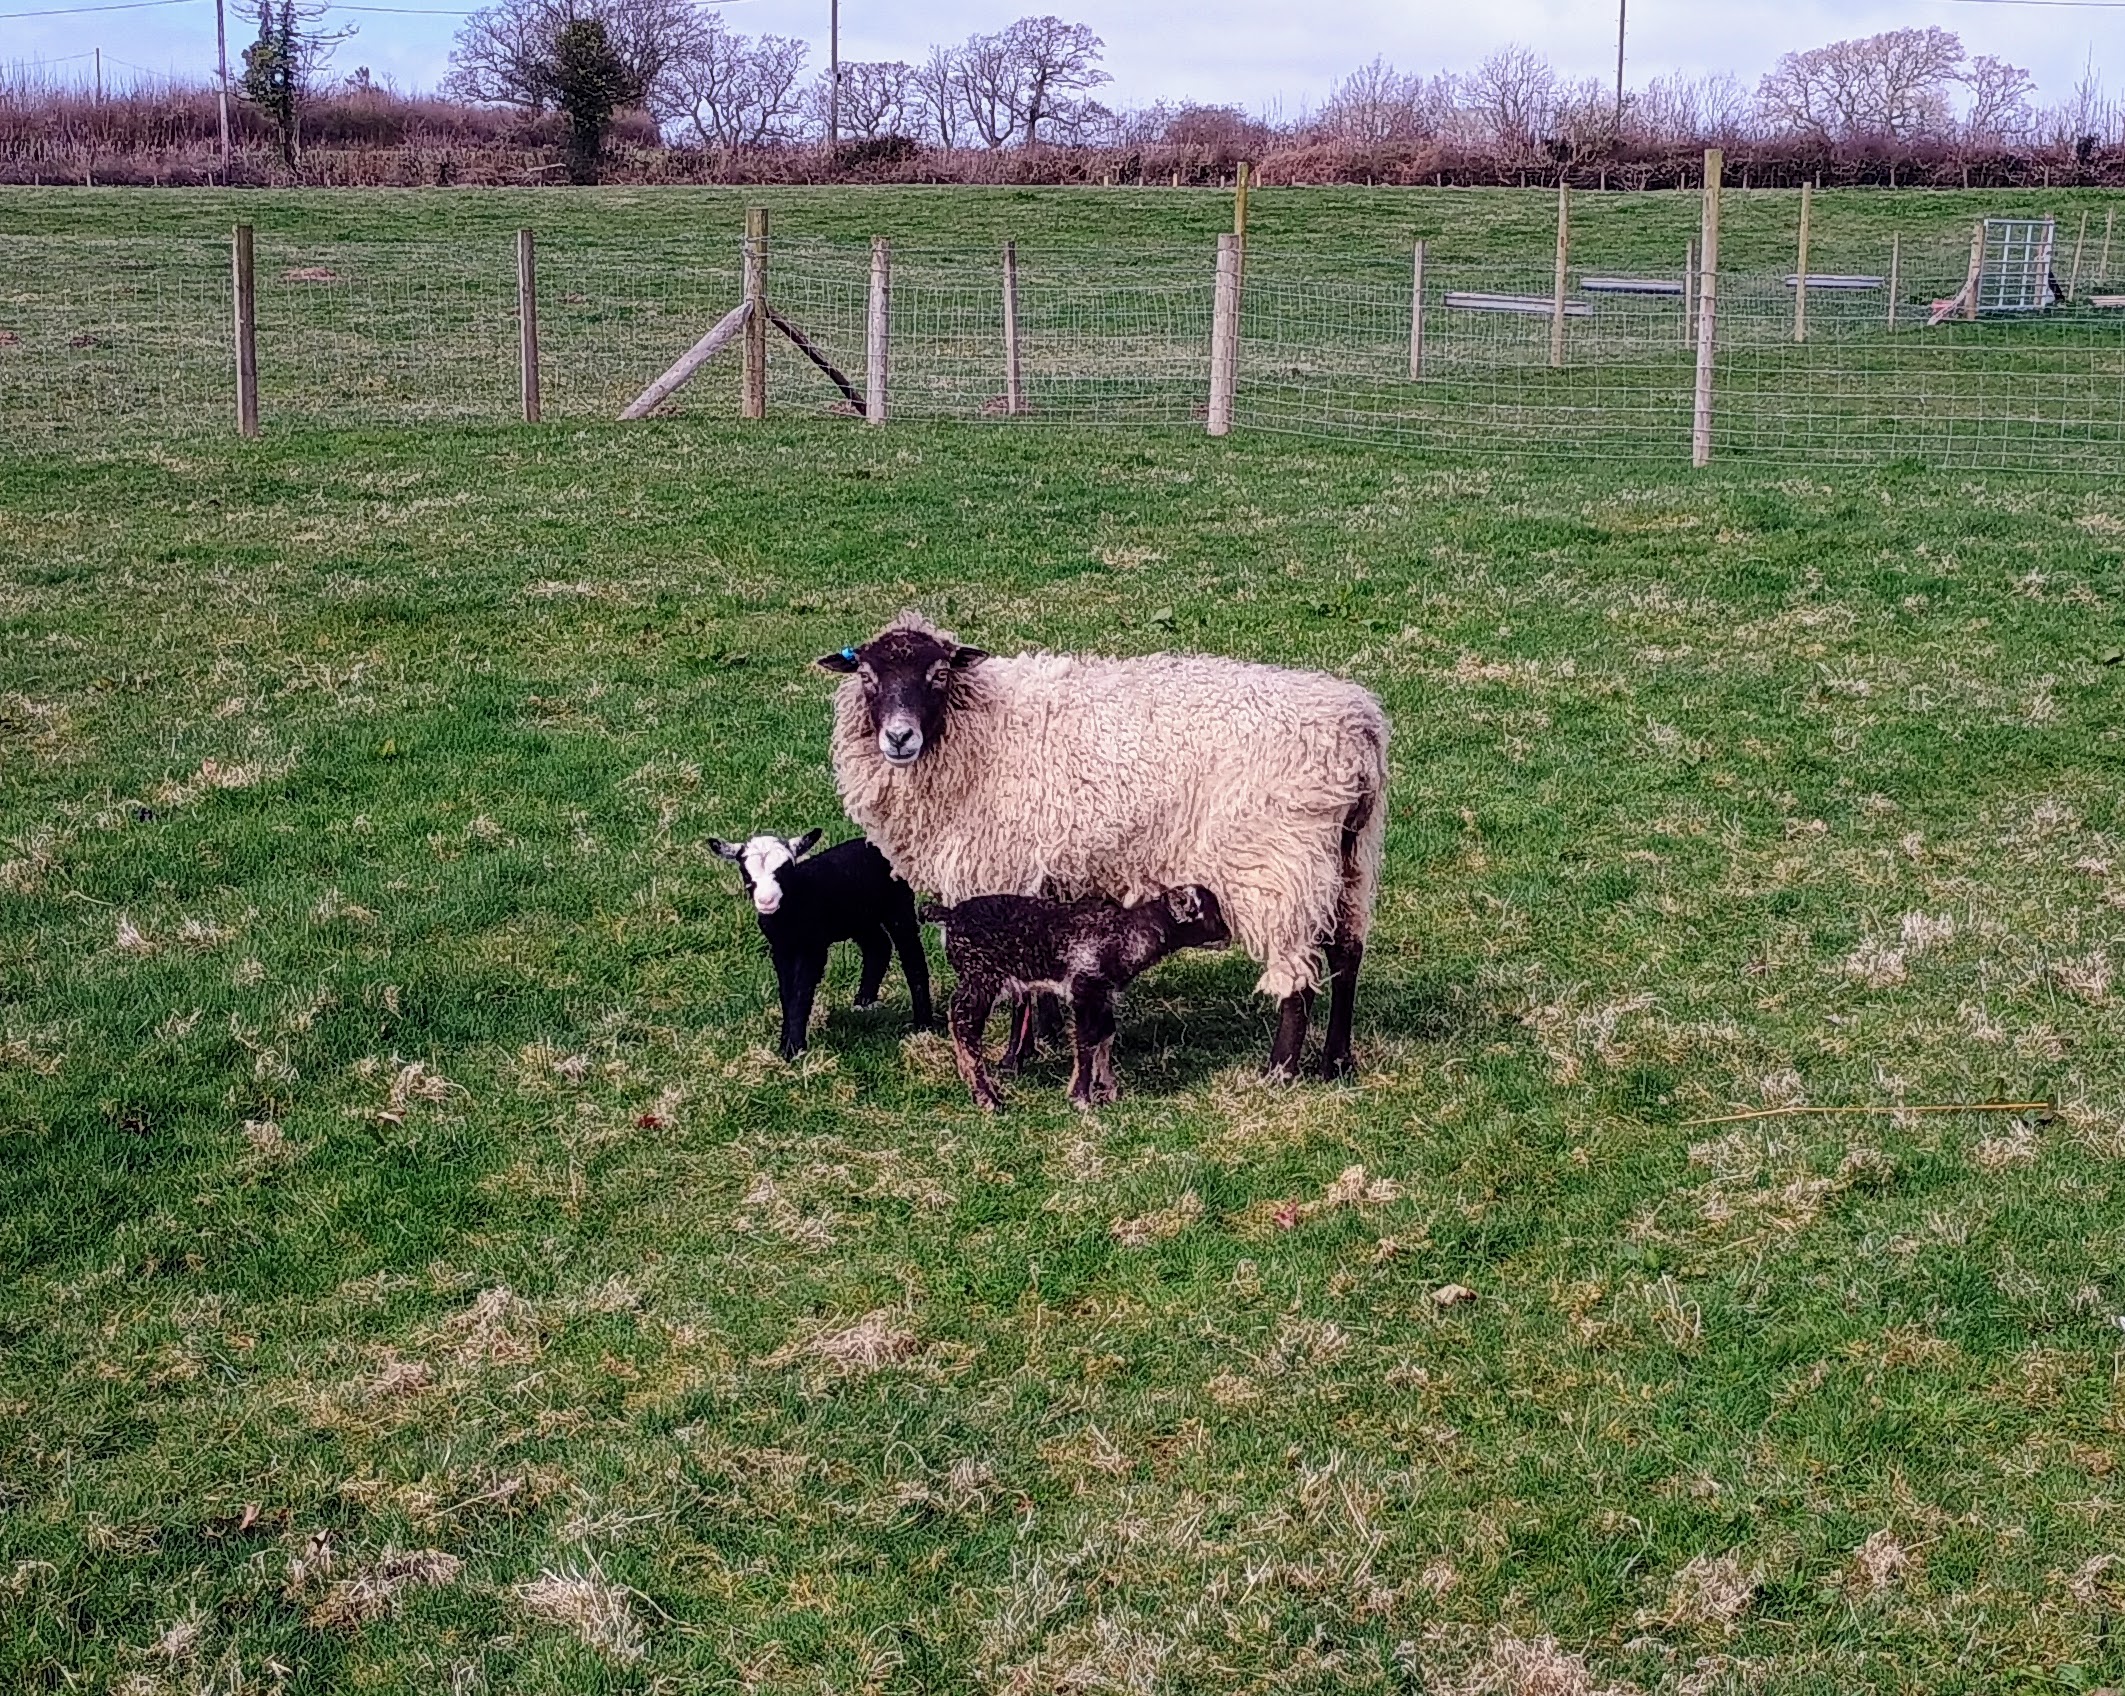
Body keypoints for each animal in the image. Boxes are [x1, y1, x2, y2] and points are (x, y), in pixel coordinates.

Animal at [708, 830, 934, 1058]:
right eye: (745, 873)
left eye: (785, 869)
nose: (766, 901)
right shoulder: (780, 948)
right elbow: (786, 992)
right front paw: (784, 1043)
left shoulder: (813, 947)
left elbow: (801, 990)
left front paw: (794, 1049)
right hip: (859, 917)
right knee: (879, 945)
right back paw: (864, 1004)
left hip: (898, 905)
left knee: (912, 957)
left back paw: (923, 1025)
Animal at [816, 613, 1388, 1081]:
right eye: (867, 678)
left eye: (938, 674)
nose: (898, 738)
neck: (978, 729)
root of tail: (1355, 728)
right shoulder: (1043, 876)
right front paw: (1048, 1037)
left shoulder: (1002, 868)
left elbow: (1019, 985)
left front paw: (1014, 1058)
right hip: (1351, 855)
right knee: (1347, 953)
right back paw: (1336, 1062)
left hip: (1276, 861)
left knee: (1296, 972)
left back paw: (1280, 1070)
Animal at [921, 885, 1230, 1111]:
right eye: (1212, 914)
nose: (1228, 935)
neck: (1128, 932)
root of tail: (949, 916)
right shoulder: (1085, 988)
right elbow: (1086, 1040)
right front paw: (1081, 1098)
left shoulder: (1104, 994)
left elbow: (1105, 1035)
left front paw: (1109, 1090)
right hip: (982, 976)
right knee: (965, 1023)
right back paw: (988, 1099)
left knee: (957, 1018)